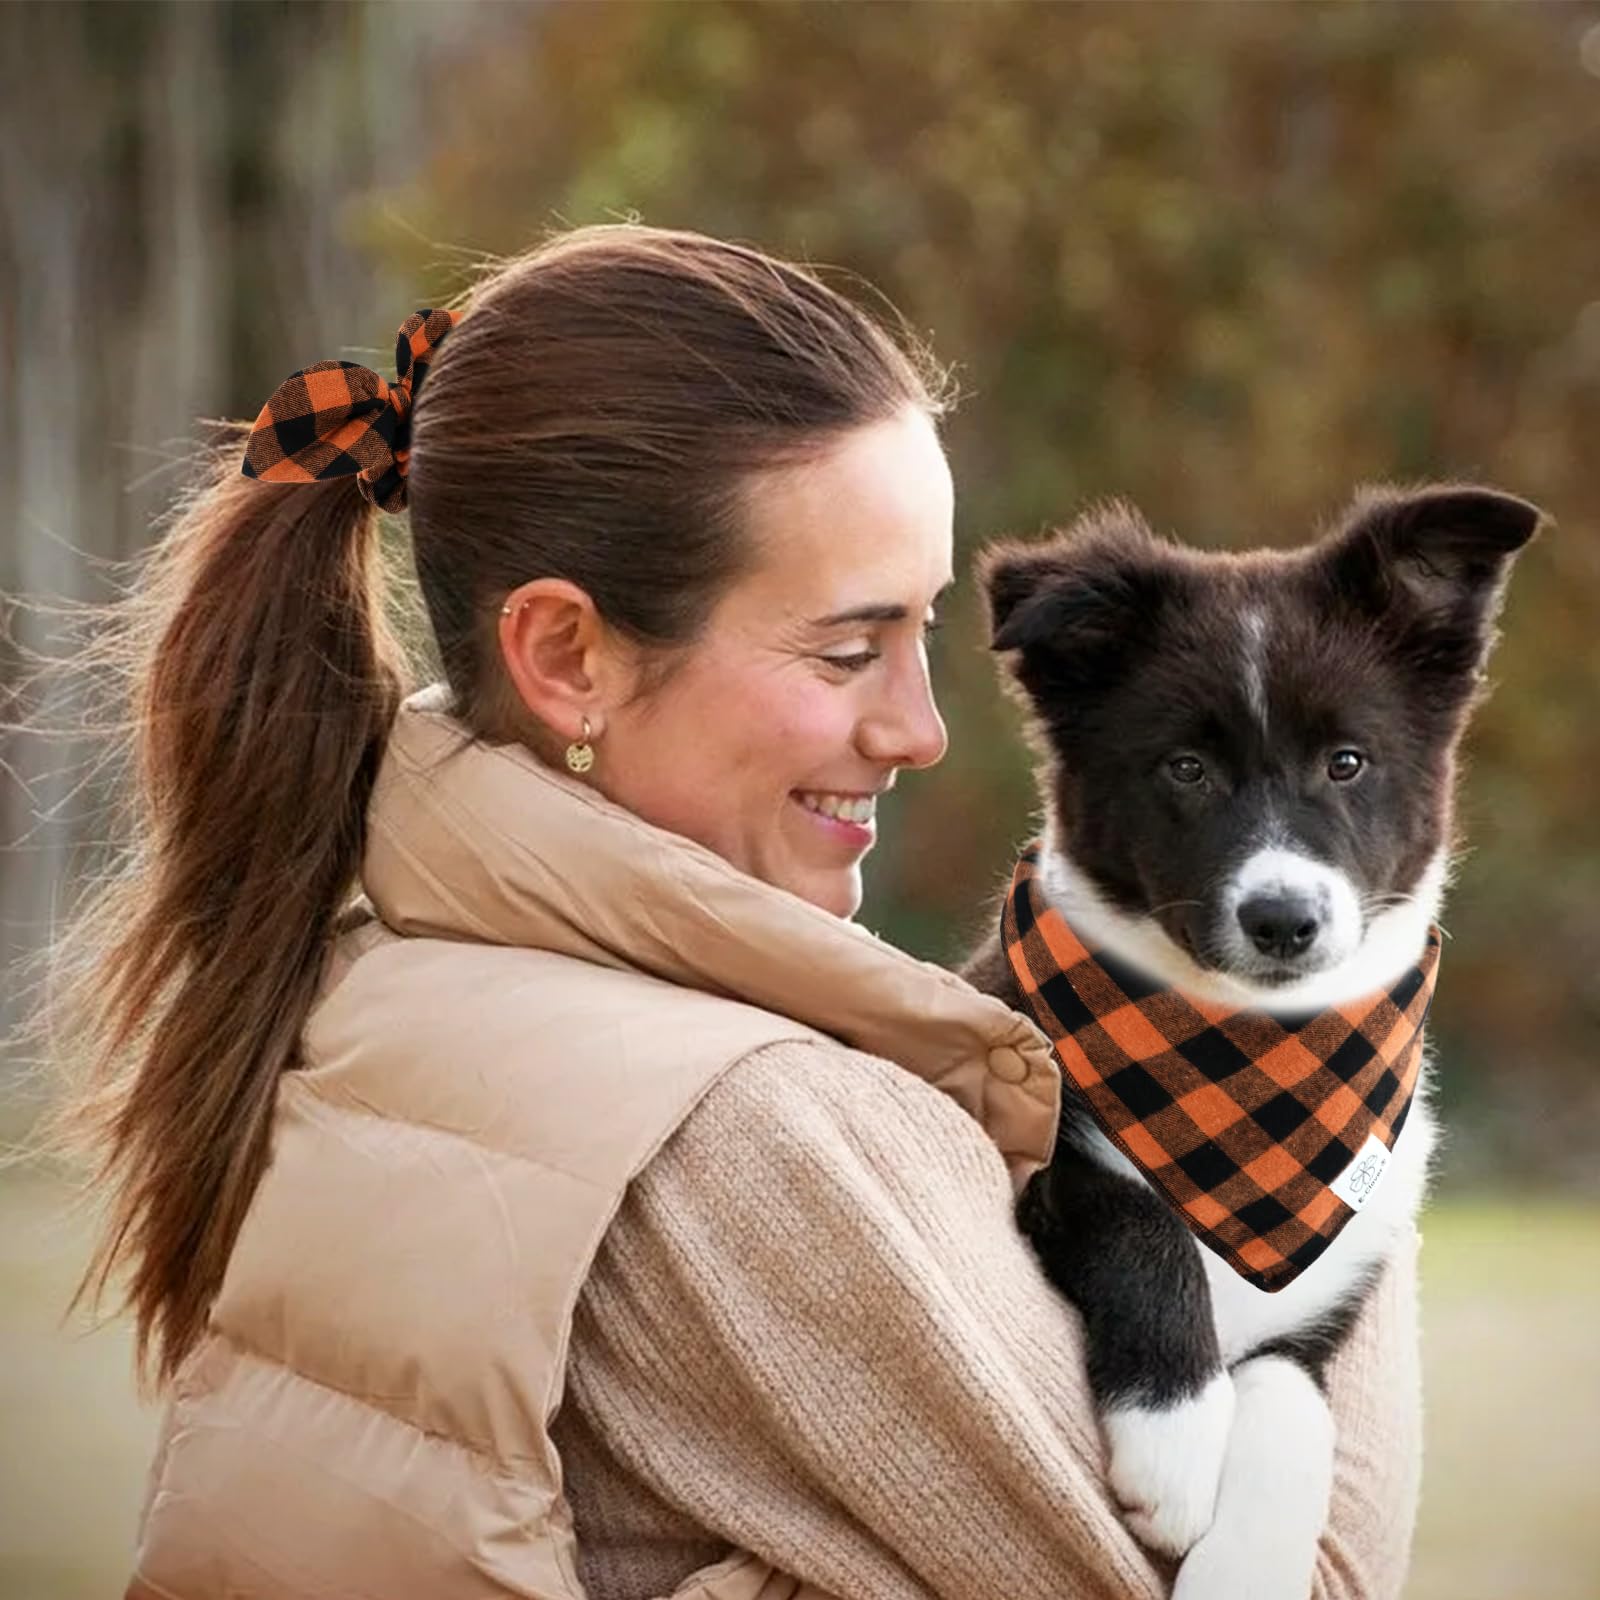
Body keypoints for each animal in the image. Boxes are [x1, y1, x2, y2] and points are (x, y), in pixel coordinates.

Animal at [953, 483, 1542, 1600]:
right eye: (1184, 768)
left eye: (1347, 763)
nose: (1282, 920)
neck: (1246, 1055)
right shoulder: (1034, 1151)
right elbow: (1141, 1219)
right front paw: (1177, 1443)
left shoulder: (1331, 1294)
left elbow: (1290, 1397)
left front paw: (1246, 1558)